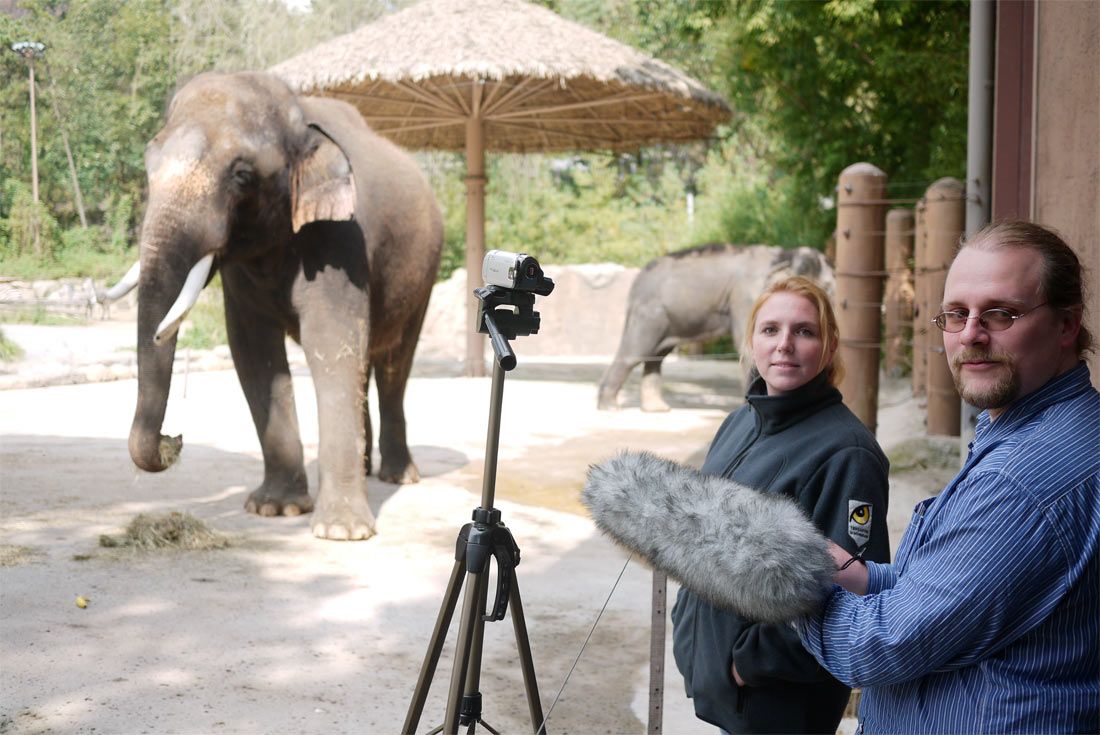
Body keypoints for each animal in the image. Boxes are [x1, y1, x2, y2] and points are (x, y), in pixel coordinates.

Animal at [108, 71, 443, 540]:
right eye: (148, 162)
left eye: (242, 175)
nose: (173, 440)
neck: (298, 116)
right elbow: (254, 352)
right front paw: (276, 510)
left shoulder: (341, 239)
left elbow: (331, 343)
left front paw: (341, 532)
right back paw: (365, 470)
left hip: (424, 272)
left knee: (395, 363)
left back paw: (398, 476)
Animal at [597, 243, 834, 412]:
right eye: (828, 287)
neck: (785, 254)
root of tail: (635, 283)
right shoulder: (745, 295)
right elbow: (746, 346)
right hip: (650, 314)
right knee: (635, 353)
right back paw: (610, 407)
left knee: (656, 357)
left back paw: (657, 409)